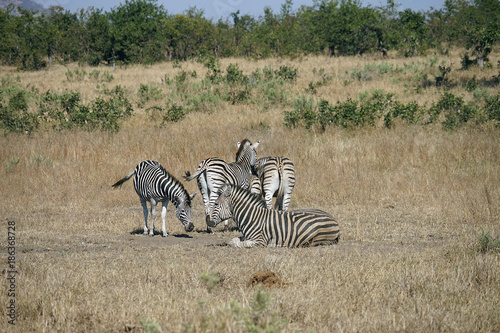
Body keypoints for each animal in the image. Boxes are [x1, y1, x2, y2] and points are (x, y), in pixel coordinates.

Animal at [207, 183, 340, 248]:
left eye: (216, 203)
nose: (207, 221)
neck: (252, 217)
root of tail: (334, 219)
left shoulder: (259, 241)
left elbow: (237, 244)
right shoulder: (246, 236)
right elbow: (233, 240)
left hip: (318, 239)